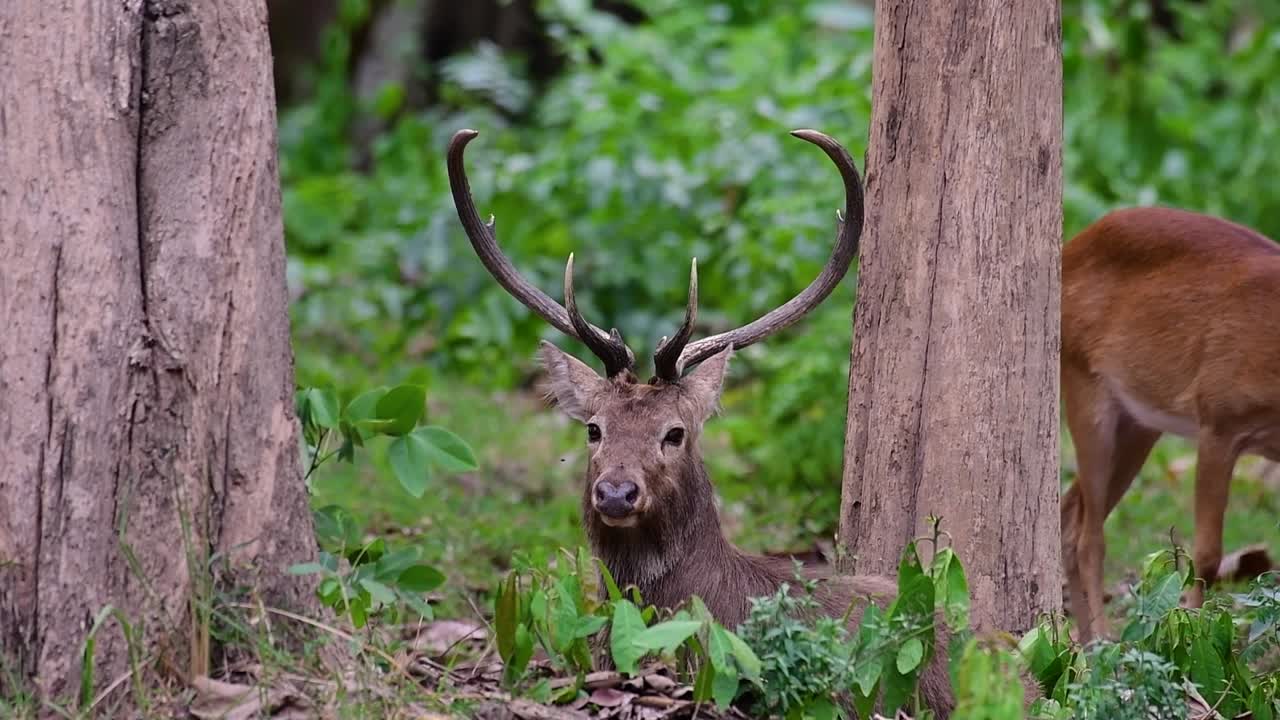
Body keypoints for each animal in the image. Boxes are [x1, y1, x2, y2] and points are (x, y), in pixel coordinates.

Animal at [1060, 205, 1280, 643]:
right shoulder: (1219, 422)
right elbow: (1207, 554)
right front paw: (1194, 641)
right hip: (1084, 385)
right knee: (1087, 537)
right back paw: (1101, 645)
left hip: (1139, 422)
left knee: (1068, 512)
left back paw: (1081, 642)